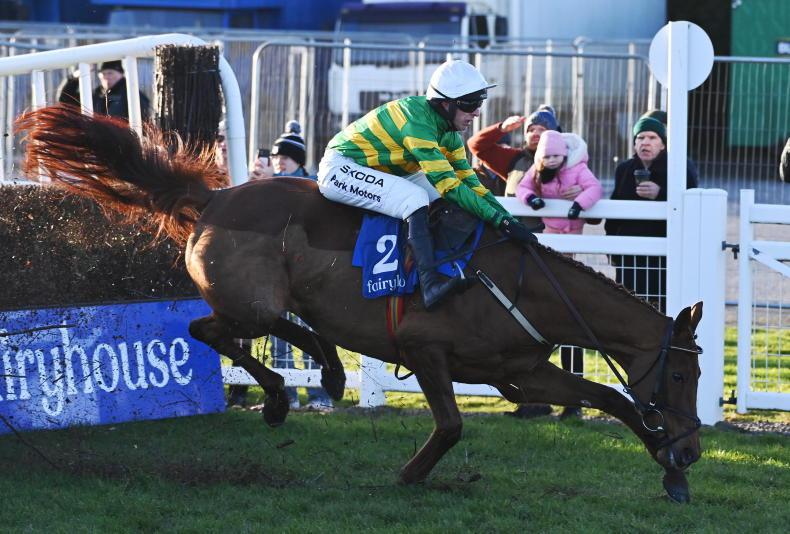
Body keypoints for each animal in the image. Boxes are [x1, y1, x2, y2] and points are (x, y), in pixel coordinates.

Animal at [17, 105, 703, 503]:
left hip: (264, 297)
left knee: (266, 326)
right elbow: (451, 425)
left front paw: (669, 468)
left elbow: (612, 399)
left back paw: (323, 375)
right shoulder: (428, 350)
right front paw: (410, 474)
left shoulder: (523, 374)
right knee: (213, 328)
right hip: (249, 298)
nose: (695, 447)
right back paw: (286, 394)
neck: (523, 283)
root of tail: (213, 199)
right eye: (677, 373)